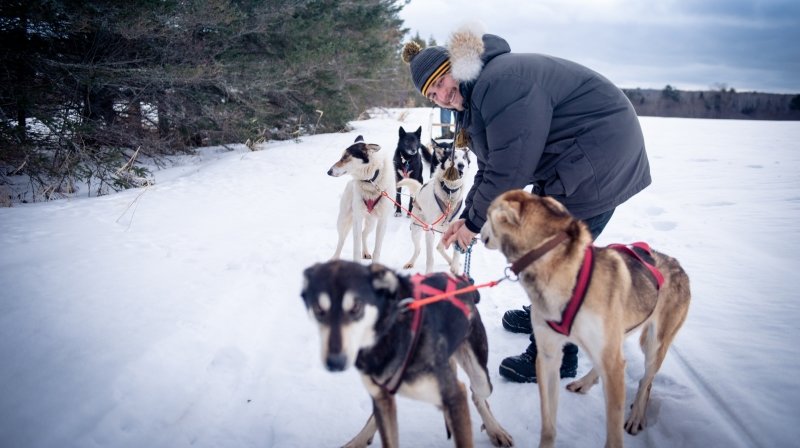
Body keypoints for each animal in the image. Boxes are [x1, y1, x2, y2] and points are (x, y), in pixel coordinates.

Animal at [300, 260, 512, 448]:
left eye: (356, 307)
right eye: (318, 309)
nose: (335, 362)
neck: (390, 334)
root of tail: (462, 281)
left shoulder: (455, 395)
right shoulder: (381, 396)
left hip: (480, 378)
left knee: (477, 394)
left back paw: (494, 429)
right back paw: (358, 440)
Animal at [328, 135, 396, 264]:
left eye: (345, 157)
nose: (328, 172)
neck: (370, 181)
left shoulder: (382, 221)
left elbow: (377, 250)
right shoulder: (357, 218)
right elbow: (355, 249)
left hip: (371, 223)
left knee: (364, 234)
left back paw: (365, 252)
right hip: (343, 220)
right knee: (342, 240)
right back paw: (335, 257)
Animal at [398, 145, 468, 274]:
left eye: (464, 158)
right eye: (452, 158)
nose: (461, 165)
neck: (450, 192)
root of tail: (418, 190)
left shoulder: (456, 228)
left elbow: (456, 251)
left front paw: (455, 267)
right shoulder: (430, 232)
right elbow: (430, 258)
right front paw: (429, 274)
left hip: (445, 231)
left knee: (439, 247)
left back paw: (451, 262)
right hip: (416, 229)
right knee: (419, 249)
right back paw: (411, 262)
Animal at [478, 189, 692, 448]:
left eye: (487, 214)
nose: (477, 231)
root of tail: (678, 265)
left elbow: (613, 434)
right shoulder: (548, 356)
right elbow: (548, 425)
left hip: (653, 344)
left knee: (645, 381)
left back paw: (636, 415)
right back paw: (585, 382)